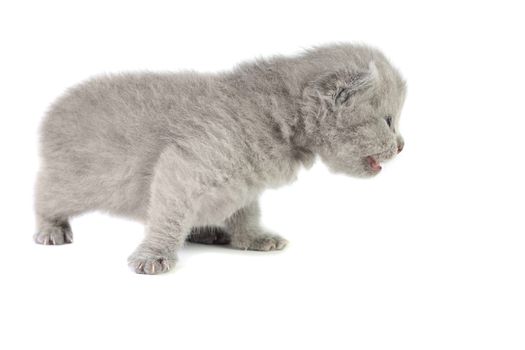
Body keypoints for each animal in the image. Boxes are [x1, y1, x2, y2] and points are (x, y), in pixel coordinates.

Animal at [34, 43, 408, 274]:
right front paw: (155, 254)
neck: (279, 116)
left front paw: (254, 239)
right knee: (45, 195)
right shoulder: (182, 166)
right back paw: (51, 230)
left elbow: (246, 213)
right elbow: (168, 217)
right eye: (388, 120)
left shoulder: (245, 183)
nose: (402, 145)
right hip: (76, 180)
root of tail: (55, 109)